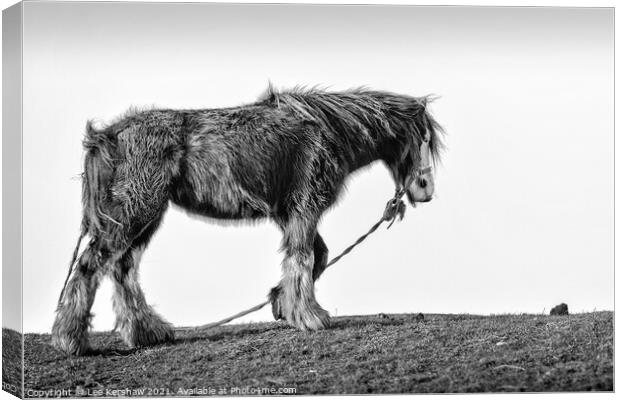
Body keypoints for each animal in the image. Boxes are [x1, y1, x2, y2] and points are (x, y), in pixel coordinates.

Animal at [50, 86, 444, 354]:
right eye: (422, 138)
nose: (426, 190)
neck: (328, 130)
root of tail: (111, 135)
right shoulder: (304, 208)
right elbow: (303, 258)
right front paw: (309, 316)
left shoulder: (291, 214)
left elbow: (315, 256)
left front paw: (282, 304)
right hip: (135, 213)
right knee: (92, 265)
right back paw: (71, 339)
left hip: (145, 218)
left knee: (123, 269)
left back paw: (147, 332)